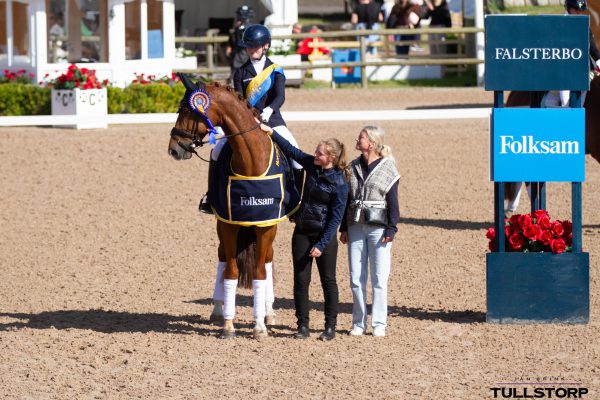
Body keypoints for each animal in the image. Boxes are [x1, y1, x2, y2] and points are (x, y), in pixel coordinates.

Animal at [168, 74, 278, 338]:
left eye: (186, 109)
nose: (173, 149)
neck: (251, 162)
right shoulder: (228, 224)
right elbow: (231, 271)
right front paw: (228, 324)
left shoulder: (266, 225)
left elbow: (260, 272)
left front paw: (259, 326)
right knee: (221, 259)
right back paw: (219, 310)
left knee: (268, 261)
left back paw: (268, 312)